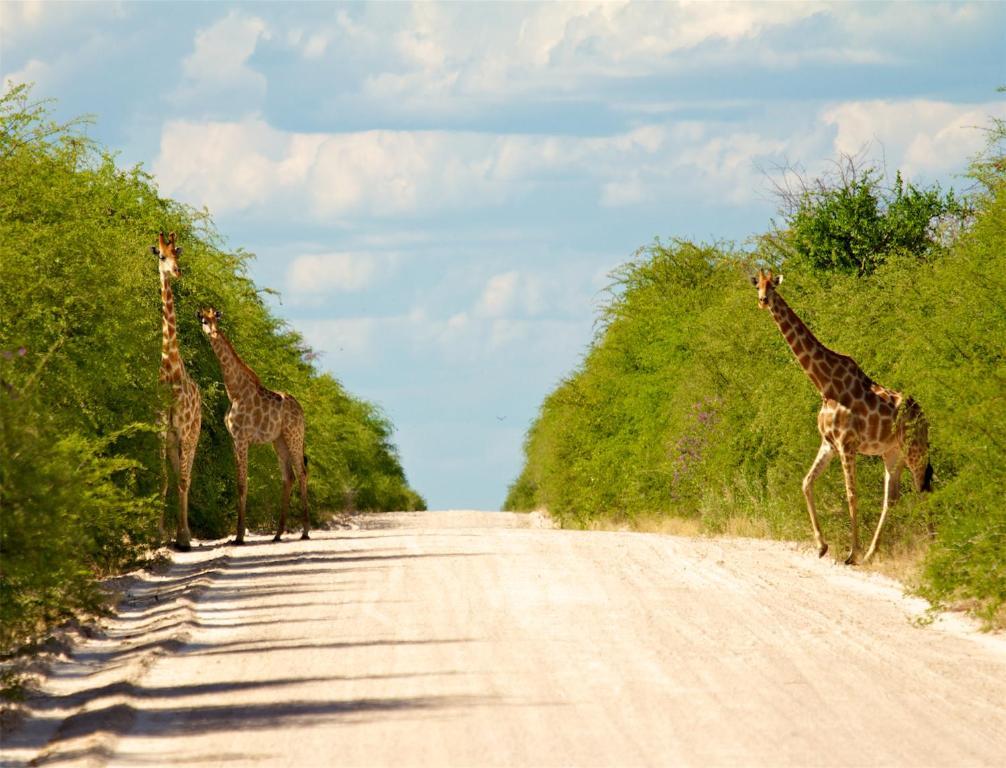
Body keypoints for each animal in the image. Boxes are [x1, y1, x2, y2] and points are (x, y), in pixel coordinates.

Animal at [194, 310, 307, 543]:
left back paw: (305, 532)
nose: (213, 332)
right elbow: (238, 482)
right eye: (203, 319)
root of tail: (301, 411)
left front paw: (239, 537)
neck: (234, 391)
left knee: (301, 472)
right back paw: (277, 534)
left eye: (213, 319)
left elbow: (242, 483)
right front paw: (238, 535)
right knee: (288, 476)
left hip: (294, 435)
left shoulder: (242, 437)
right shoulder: (233, 438)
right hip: (278, 440)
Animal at [752, 269, 929, 563]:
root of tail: (925, 418)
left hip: (914, 450)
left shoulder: (848, 444)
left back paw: (931, 546)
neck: (825, 385)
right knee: (892, 498)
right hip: (892, 452)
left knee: (923, 490)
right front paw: (822, 546)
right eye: (757, 286)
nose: (763, 301)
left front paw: (851, 553)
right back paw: (872, 553)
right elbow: (806, 483)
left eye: (773, 287)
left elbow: (850, 495)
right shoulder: (829, 443)